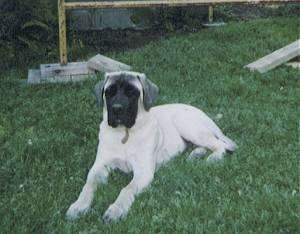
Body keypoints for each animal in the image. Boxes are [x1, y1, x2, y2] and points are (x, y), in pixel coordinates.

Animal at [66, 71, 237, 223]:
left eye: (132, 92)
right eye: (109, 92)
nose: (117, 108)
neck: (125, 134)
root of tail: (203, 113)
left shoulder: (143, 171)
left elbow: (127, 189)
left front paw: (115, 210)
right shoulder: (100, 166)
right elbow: (89, 185)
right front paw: (78, 206)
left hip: (187, 125)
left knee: (219, 144)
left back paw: (213, 158)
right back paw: (195, 155)